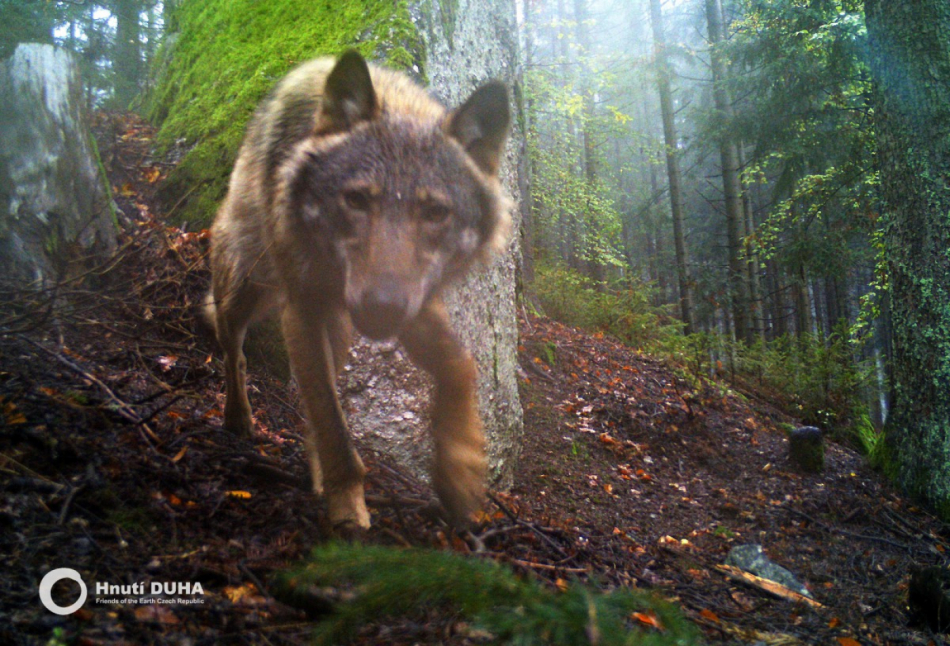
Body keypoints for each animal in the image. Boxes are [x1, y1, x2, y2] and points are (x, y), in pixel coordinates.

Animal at [203, 52, 512, 532]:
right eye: (356, 200)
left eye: (435, 212)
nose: (381, 308)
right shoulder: (303, 307)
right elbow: (333, 425)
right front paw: (348, 510)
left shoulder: (413, 304)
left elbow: (459, 365)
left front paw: (458, 471)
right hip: (245, 289)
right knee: (234, 348)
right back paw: (238, 419)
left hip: (341, 324)